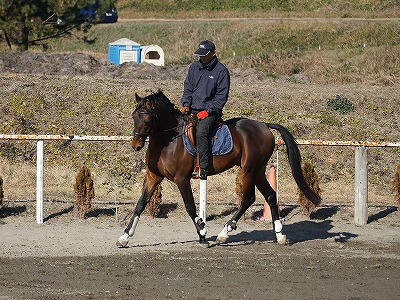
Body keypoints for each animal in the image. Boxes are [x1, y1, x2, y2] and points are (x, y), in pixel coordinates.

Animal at [115, 90, 318, 247]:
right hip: (258, 171)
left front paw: (202, 233)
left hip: (249, 170)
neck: (168, 141)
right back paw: (279, 235)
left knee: (248, 198)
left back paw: (224, 233)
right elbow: (140, 204)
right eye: (134, 116)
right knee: (269, 195)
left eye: (147, 118)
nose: (136, 145)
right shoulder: (153, 176)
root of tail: (264, 125)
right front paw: (124, 237)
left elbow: (190, 206)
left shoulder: (182, 178)